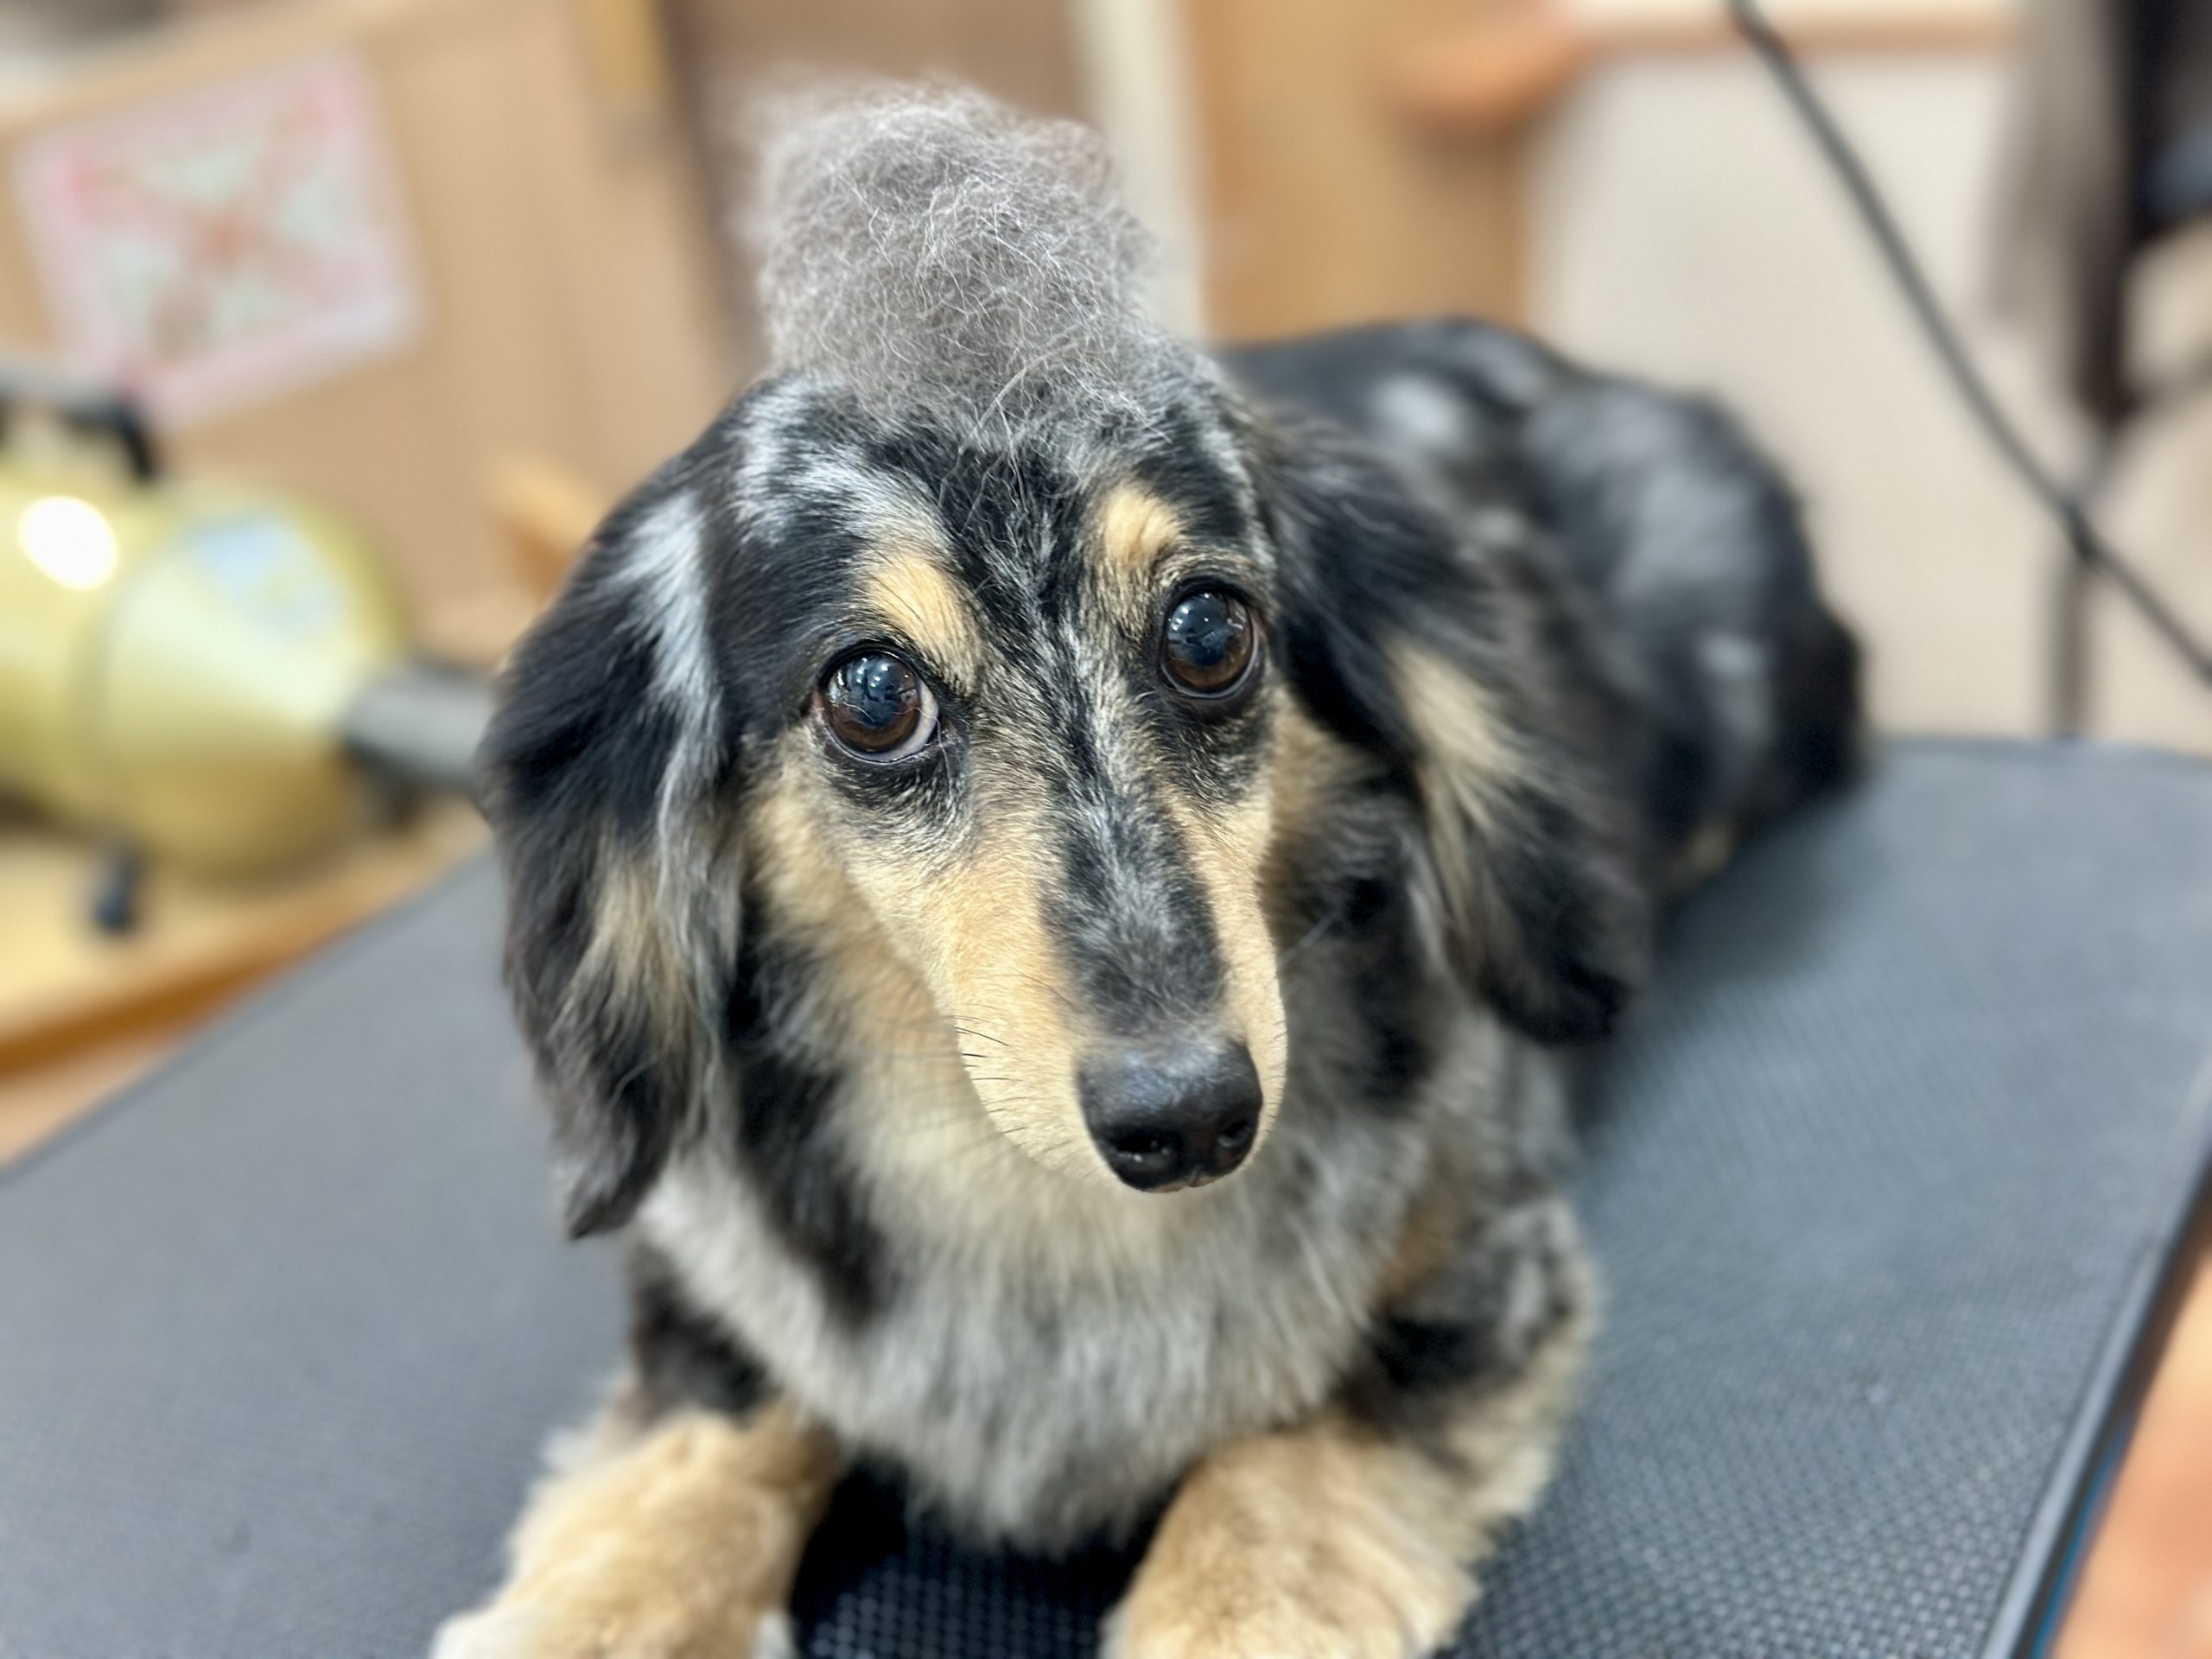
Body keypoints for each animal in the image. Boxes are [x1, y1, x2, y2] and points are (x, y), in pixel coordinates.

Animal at [434, 86, 1859, 1659]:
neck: (1047, 1221)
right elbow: (693, 1465)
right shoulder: (723, 1301)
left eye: (1209, 631)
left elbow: (1270, 1488)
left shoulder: (1476, 1275)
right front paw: (597, 1604)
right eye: (870, 694)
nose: (1187, 1118)